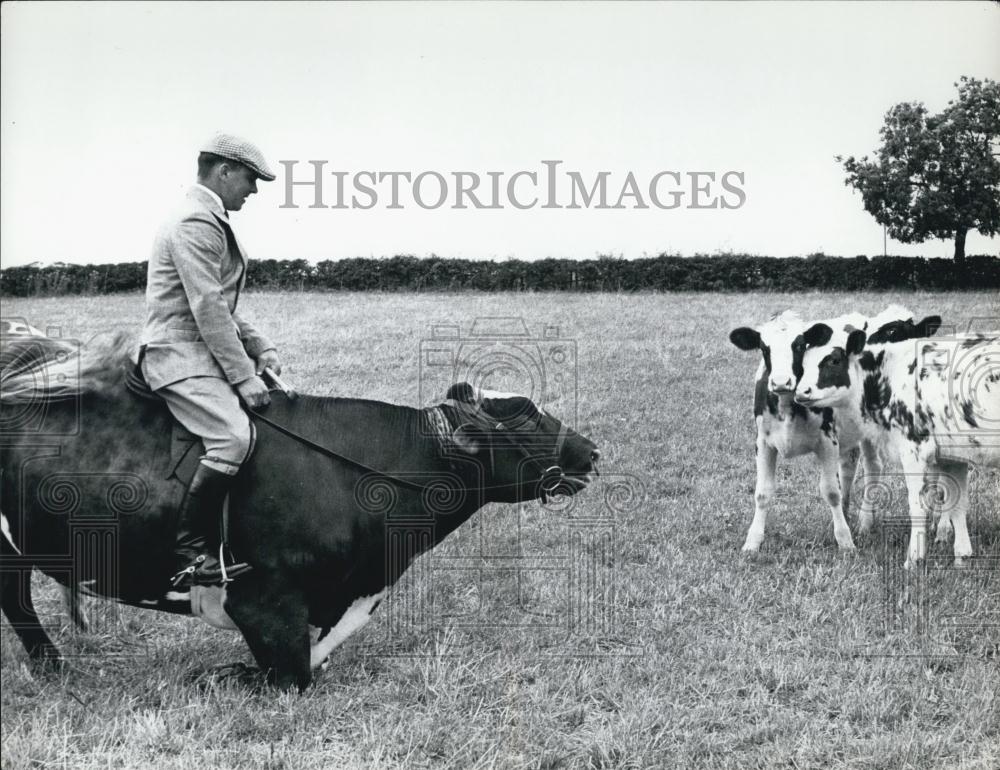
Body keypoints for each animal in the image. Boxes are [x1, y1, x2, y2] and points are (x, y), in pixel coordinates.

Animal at [0, 336, 596, 688]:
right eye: (522, 413)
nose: (591, 451)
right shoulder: (265, 600)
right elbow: (291, 675)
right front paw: (230, 673)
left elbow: (316, 656)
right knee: (18, 602)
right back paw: (54, 669)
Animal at [792, 316, 996, 568]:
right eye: (803, 363)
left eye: (834, 360)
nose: (801, 392)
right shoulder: (953, 453)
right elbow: (957, 504)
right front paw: (962, 556)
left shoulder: (913, 448)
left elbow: (918, 507)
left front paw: (913, 559)